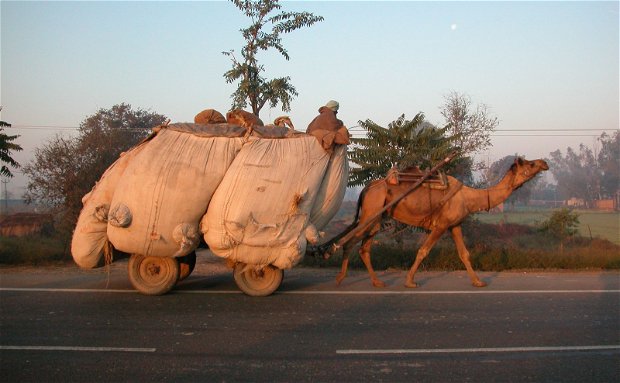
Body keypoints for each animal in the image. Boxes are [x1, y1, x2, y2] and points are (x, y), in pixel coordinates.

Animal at [322, 158, 548, 288]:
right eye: (530, 164)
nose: (544, 162)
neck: (469, 198)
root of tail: (366, 189)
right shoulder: (441, 225)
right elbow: (423, 250)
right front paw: (410, 281)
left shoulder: (455, 224)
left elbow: (464, 253)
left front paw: (478, 281)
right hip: (371, 212)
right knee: (349, 242)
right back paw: (340, 277)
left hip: (377, 217)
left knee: (363, 247)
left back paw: (377, 282)